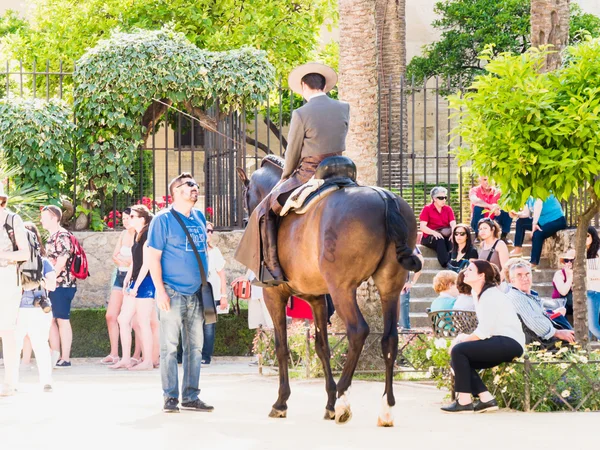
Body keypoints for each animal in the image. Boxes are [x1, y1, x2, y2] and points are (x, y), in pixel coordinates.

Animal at [237, 156, 420, 428]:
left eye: (246, 194)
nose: (245, 219)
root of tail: (385, 198)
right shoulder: (317, 299)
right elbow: (322, 346)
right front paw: (329, 403)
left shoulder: (275, 296)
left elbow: (281, 347)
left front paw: (282, 402)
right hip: (390, 288)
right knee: (390, 339)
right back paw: (385, 408)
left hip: (342, 289)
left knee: (358, 330)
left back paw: (345, 398)